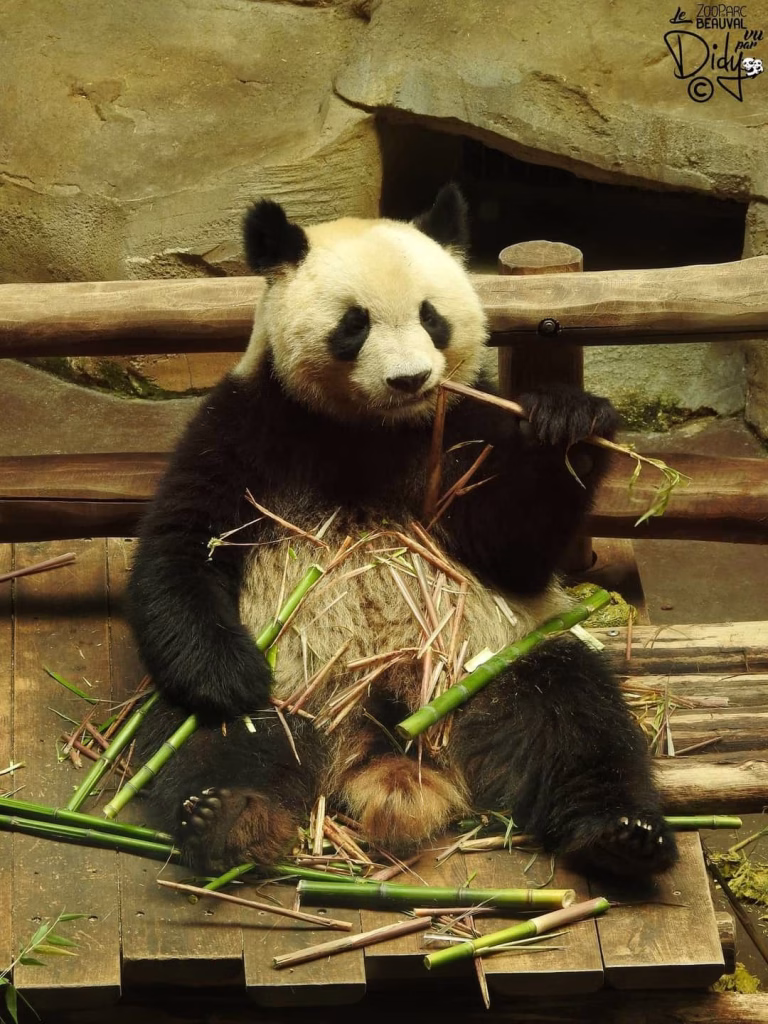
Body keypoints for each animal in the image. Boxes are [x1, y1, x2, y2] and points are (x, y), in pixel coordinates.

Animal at [127, 186, 677, 879]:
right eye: (354, 324)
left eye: (432, 317)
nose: (412, 379)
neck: (372, 429)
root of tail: (385, 735)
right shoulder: (247, 425)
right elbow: (183, 545)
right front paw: (233, 677)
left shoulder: (462, 427)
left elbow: (511, 549)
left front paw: (566, 424)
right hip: (300, 680)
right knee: (210, 736)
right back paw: (229, 814)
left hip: (498, 657)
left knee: (576, 716)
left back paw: (623, 833)